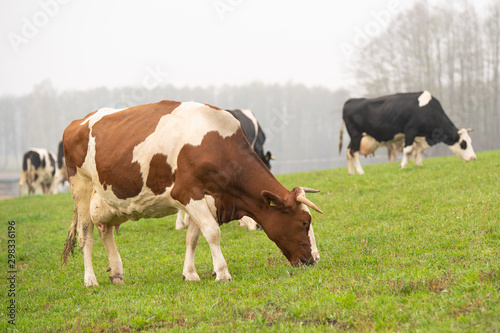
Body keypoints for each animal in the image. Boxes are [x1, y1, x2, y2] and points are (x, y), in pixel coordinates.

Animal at [60, 100, 322, 286]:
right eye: (304, 222)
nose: (313, 260)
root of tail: (77, 122)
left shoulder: (205, 199)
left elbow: (193, 237)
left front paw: (191, 273)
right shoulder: (187, 193)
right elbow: (213, 233)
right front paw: (222, 273)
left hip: (107, 200)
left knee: (105, 231)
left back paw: (116, 272)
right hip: (81, 190)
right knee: (86, 235)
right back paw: (90, 280)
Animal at [340, 90, 476, 174]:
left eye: (470, 141)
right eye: (463, 144)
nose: (473, 158)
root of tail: (351, 101)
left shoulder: (420, 135)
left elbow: (419, 150)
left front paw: (419, 164)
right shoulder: (410, 131)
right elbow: (408, 150)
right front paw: (403, 165)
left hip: (355, 138)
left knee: (348, 151)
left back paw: (351, 172)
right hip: (356, 134)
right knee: (353, 152)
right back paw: (360, 172)